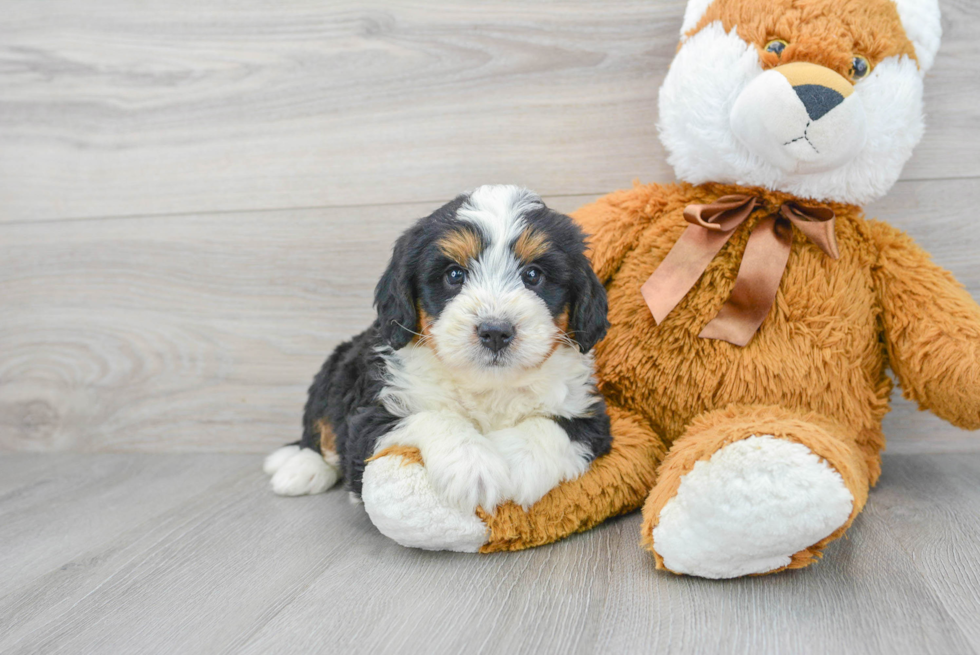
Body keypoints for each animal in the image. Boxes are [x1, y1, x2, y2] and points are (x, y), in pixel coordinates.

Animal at [264, 186, 608, 516]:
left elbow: (551, 426)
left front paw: (518, 463)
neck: (486, 385)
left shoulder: (589, 412)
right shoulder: (369, 418)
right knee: (318, 426)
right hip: (334, 370)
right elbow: (430, 416)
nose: (495, 332)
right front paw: (474, 467)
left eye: (533, 275)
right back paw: (300, 467)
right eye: (454, 274)